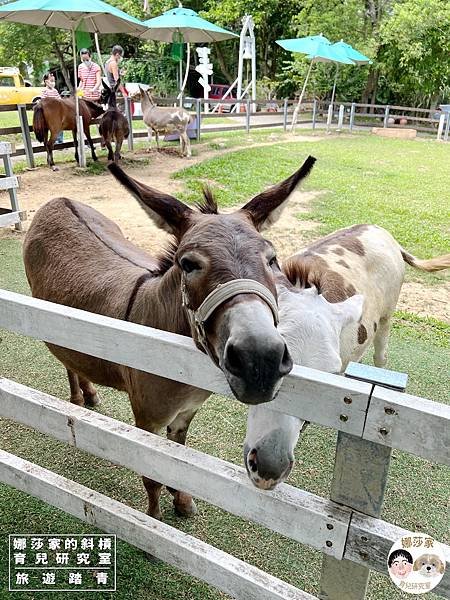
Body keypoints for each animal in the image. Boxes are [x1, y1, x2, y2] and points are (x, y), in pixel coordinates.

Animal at [22, 159, 314, 520]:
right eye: (187, 264)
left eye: (272, 259)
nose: (260, 362)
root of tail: (59, 199)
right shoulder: (147, 420)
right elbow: (152, 474)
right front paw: (153, 519)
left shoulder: (185, 414)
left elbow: (178, 460)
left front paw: (182, 500)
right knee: (65, 359)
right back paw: (79, 397)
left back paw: (88, 394)